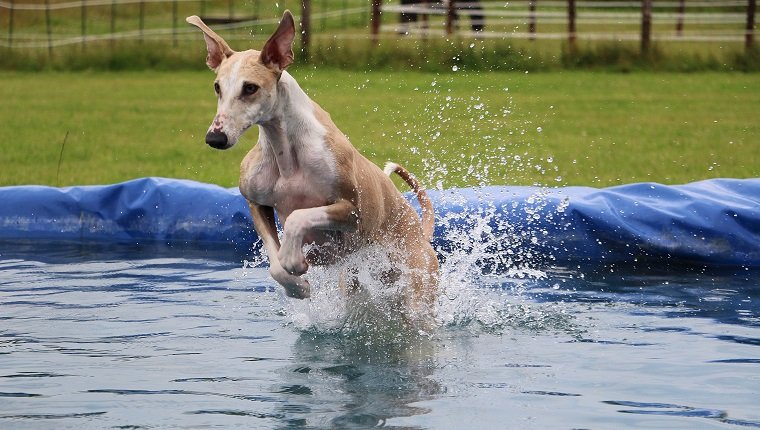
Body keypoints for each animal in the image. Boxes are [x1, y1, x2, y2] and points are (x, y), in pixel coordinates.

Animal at [187, 10, 440, 326]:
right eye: (217, 87)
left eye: (250, 88)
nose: (215, 138)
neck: (285, 152)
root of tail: (420, 232)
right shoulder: (256, 201)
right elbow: (276, 263)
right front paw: (297, 284)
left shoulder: (352, 210)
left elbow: (297, 218)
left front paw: (295, 259)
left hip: (415, 283)